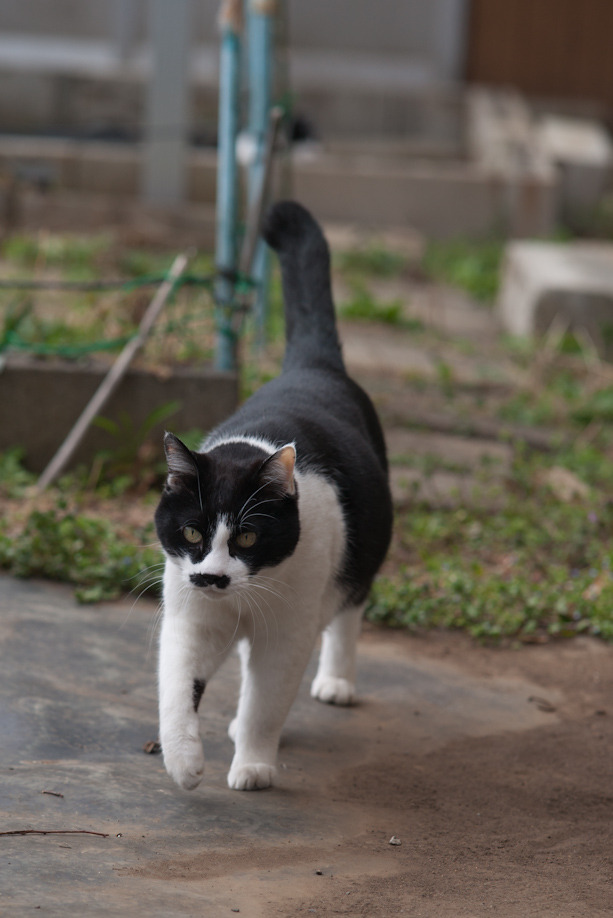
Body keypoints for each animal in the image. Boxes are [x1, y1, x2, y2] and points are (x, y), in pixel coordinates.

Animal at [153, 201, 392, 792]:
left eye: (247, 537)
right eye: (191, 530)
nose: (213, 577)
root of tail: (313, 365)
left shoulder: (288, 630)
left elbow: (269, 699)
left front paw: (255, 766)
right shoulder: (190, 615)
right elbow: (177, 688)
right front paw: (184, 762)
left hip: (357, 561)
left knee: (349, 613)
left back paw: (335, 681)